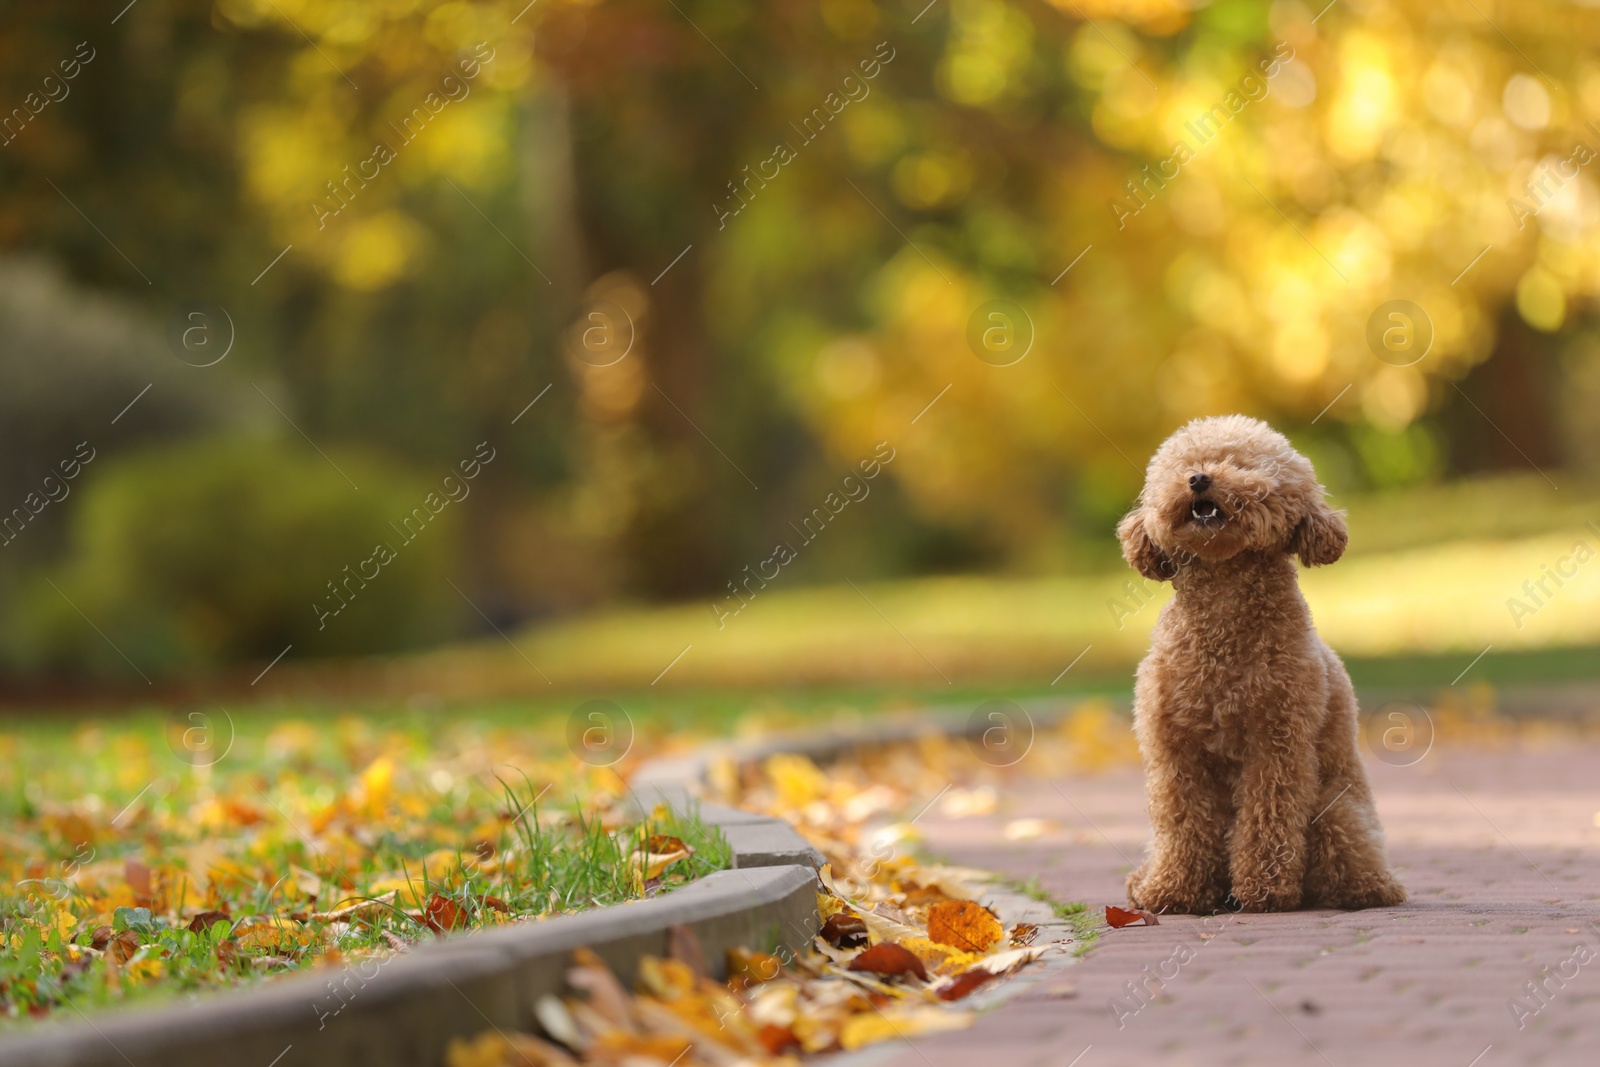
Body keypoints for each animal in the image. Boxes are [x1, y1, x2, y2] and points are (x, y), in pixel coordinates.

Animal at [1120, 412, 1408, 915]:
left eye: (1241, 465)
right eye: (1186, 464)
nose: (1199, 478)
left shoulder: (1278, 743)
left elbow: (1268, 816)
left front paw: (1264, 889)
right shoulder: (1174, 749)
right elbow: (1180, 821)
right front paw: (1173, 890)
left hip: (1336, 810)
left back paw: (1364, 888)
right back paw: (1149, 882)